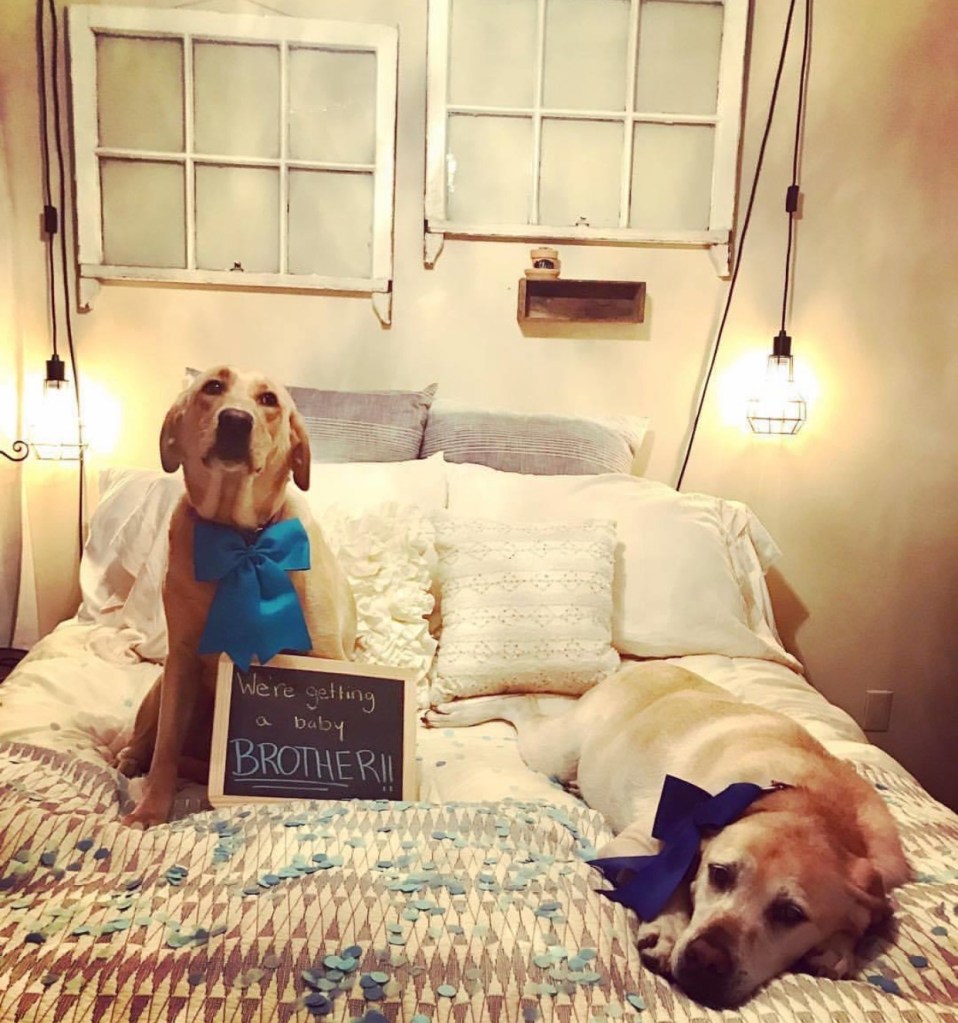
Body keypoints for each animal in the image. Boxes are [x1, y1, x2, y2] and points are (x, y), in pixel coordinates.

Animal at [115, 366, 357, 827]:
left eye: (269, 400)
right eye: (213, 386)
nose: (235, 421)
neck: (241, 539)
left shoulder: (325, 658)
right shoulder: (182, 659)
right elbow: (165, 748)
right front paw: (151, 810)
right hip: (160, 687)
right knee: (147, 740)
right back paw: (129, 759)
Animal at [425, 663, 910, 1007]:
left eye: (790, 914)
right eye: (719, 873)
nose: (706, 960)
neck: (812, 803)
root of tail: (641, 668)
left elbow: (868, 917)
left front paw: (838, 948)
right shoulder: (634, 845)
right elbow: (671, 877)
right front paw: (669, 927)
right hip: (554, 750)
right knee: (522, 703)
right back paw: (460, 710)